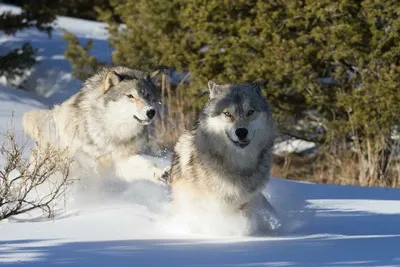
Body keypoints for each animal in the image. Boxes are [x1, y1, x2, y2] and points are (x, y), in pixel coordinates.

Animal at [21, 67, 165, 184]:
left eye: (148, 95)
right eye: (130, 96)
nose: (151, 112)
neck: (113, 131)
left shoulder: (122, 159)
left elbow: (146, 165)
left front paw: (162, 173)